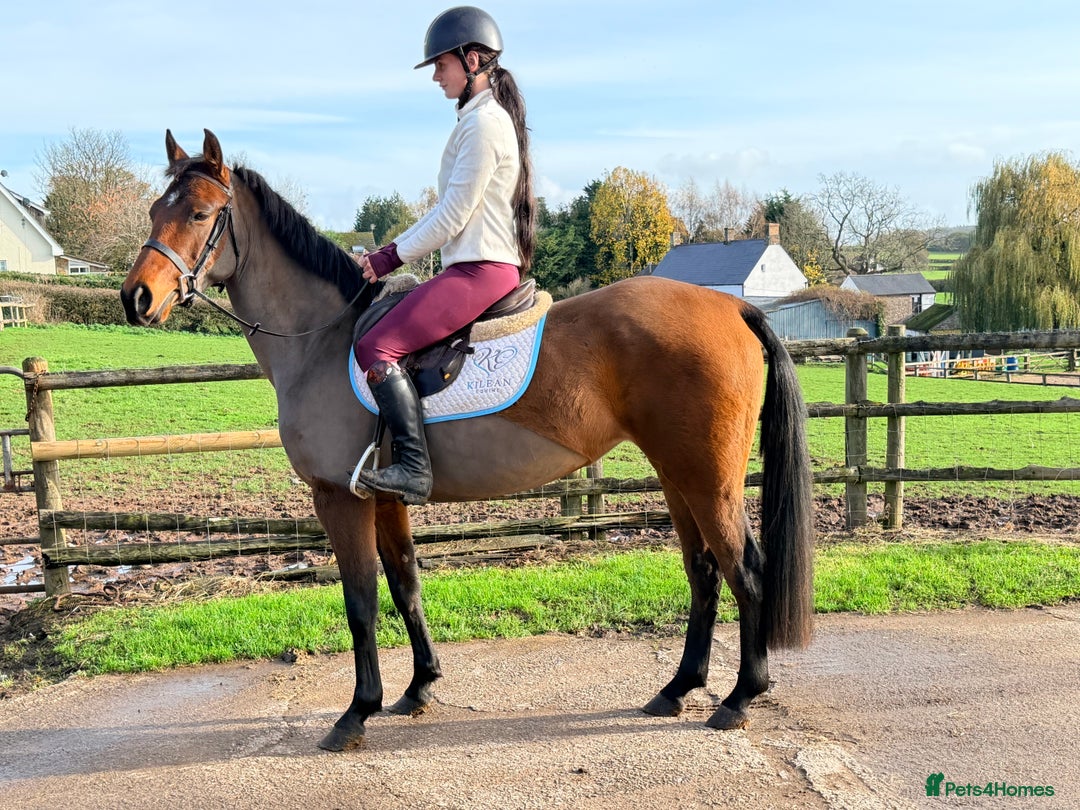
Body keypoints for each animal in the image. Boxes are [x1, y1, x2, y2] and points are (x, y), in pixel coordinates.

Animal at [120, 129, 814, 752]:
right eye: (155, 210)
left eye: (200, 213)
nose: (136, 298)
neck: (323, 339)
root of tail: (731, 307)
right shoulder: (387, 498)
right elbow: (406, 584)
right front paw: (419, 687)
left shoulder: (339, 498)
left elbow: (361, 602)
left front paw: (356, 713)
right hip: (677, 477)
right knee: (704, 572)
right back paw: (677, 688)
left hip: (707, 479)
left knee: (746, 571)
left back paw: (740, 696)